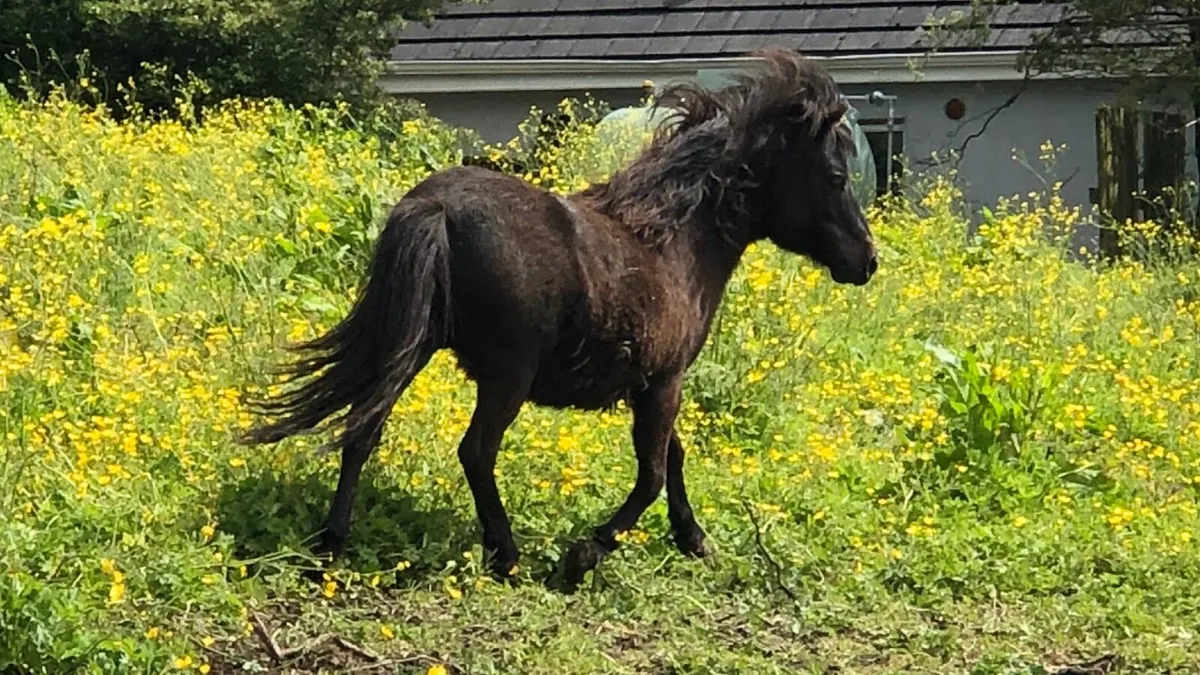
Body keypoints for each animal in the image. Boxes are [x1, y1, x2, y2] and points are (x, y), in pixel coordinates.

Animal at [240, 48, 878, 591]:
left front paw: (694, 540)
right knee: (474, 450)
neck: (674, 241)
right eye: (835, 176)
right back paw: (505, 555)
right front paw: (584, 555)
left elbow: (672, 458)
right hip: (506, 374)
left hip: (412, 347)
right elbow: (651, 473)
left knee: (361, 430)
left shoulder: (651, 382)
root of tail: (434, 208)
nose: (866, 260)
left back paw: (330, 548)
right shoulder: (664, 380)